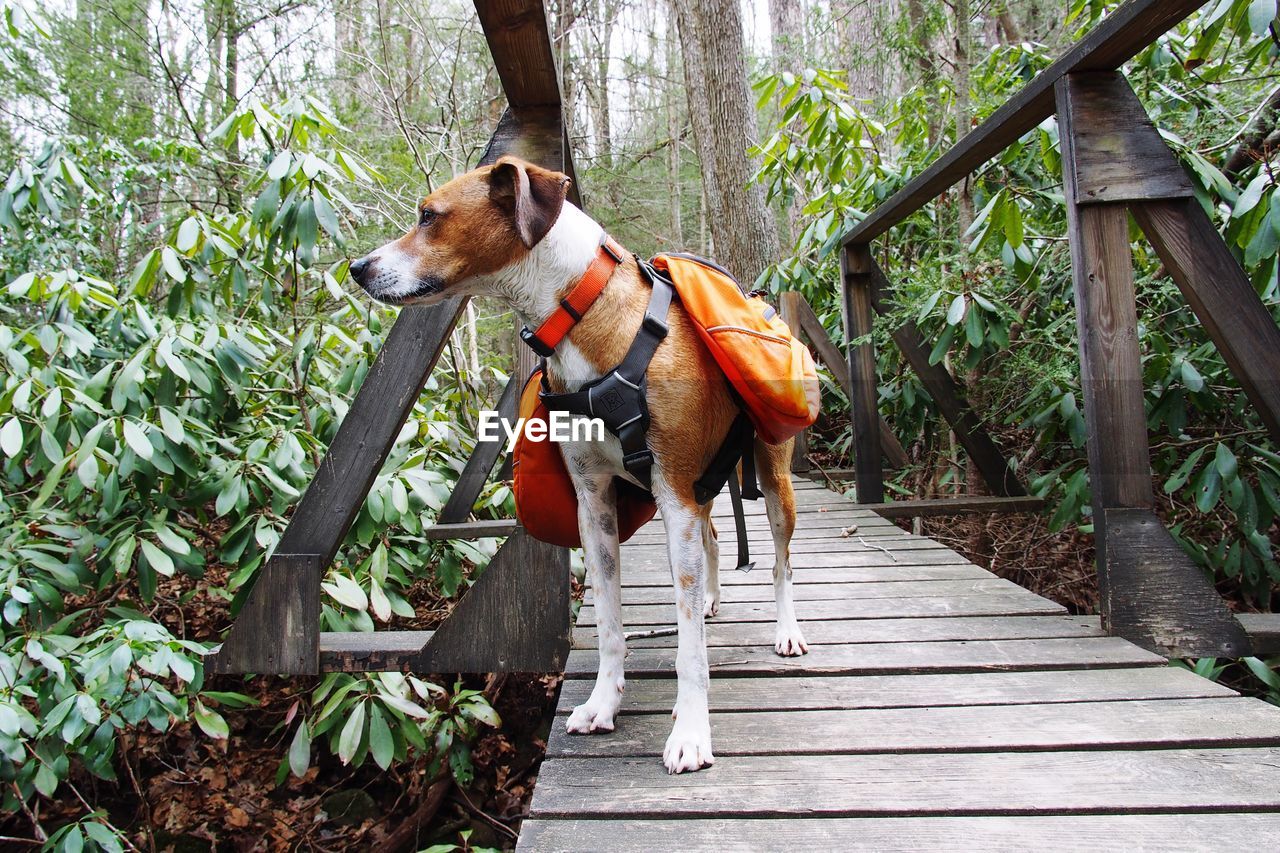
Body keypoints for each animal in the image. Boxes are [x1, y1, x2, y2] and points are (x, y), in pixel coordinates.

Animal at [348, 156, 808, 773]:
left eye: (429, 216)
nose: (357, 267)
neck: (584, 313)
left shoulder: (676, 498)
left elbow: (689, 648)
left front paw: (691, 731)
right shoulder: (596, 503)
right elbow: (611, 623)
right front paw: (604, 702)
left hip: (773, 479)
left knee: (781, 563)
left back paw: (786, 629)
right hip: (704, 485)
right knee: (715, 539)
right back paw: (711, 597)